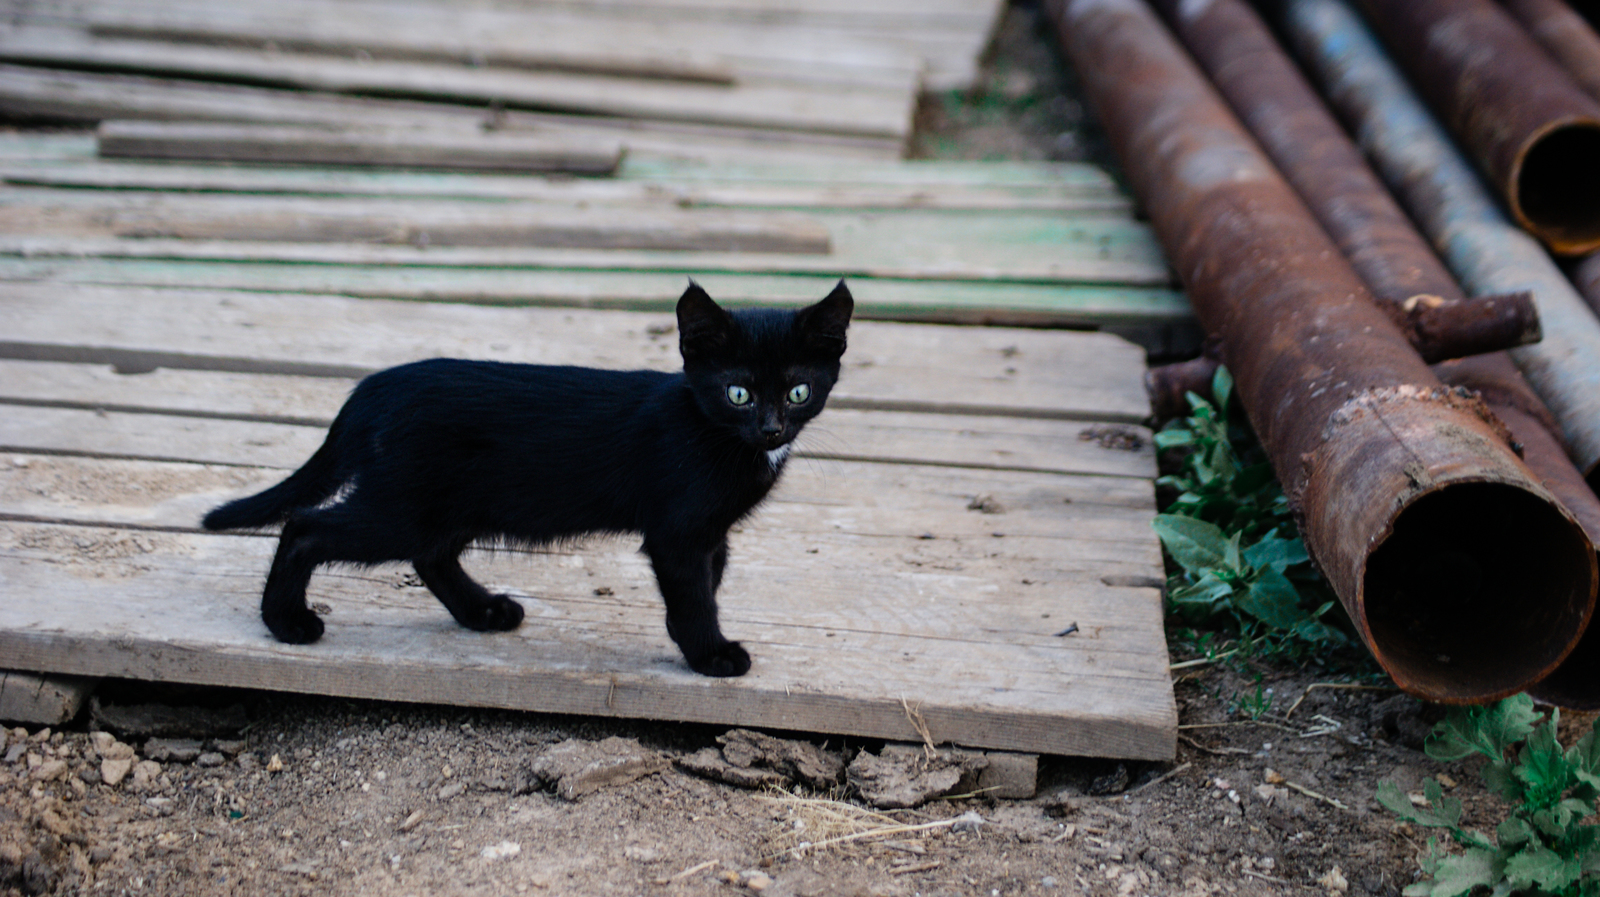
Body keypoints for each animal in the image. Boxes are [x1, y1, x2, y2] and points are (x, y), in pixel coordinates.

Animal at [206, 283, 857, 674]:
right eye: (737, 392)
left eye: (799, 391)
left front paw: (694, 638)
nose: (771, 428)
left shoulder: (711, 534)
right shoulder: (678, 532)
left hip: (447, 505)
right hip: (402, 508)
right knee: (304, 527)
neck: (713, 432)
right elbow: (693, 593)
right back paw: (287, 623)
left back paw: (484, 613)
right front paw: (711, 654)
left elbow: (708, 585)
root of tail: (372, 387)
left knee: (430, 556)